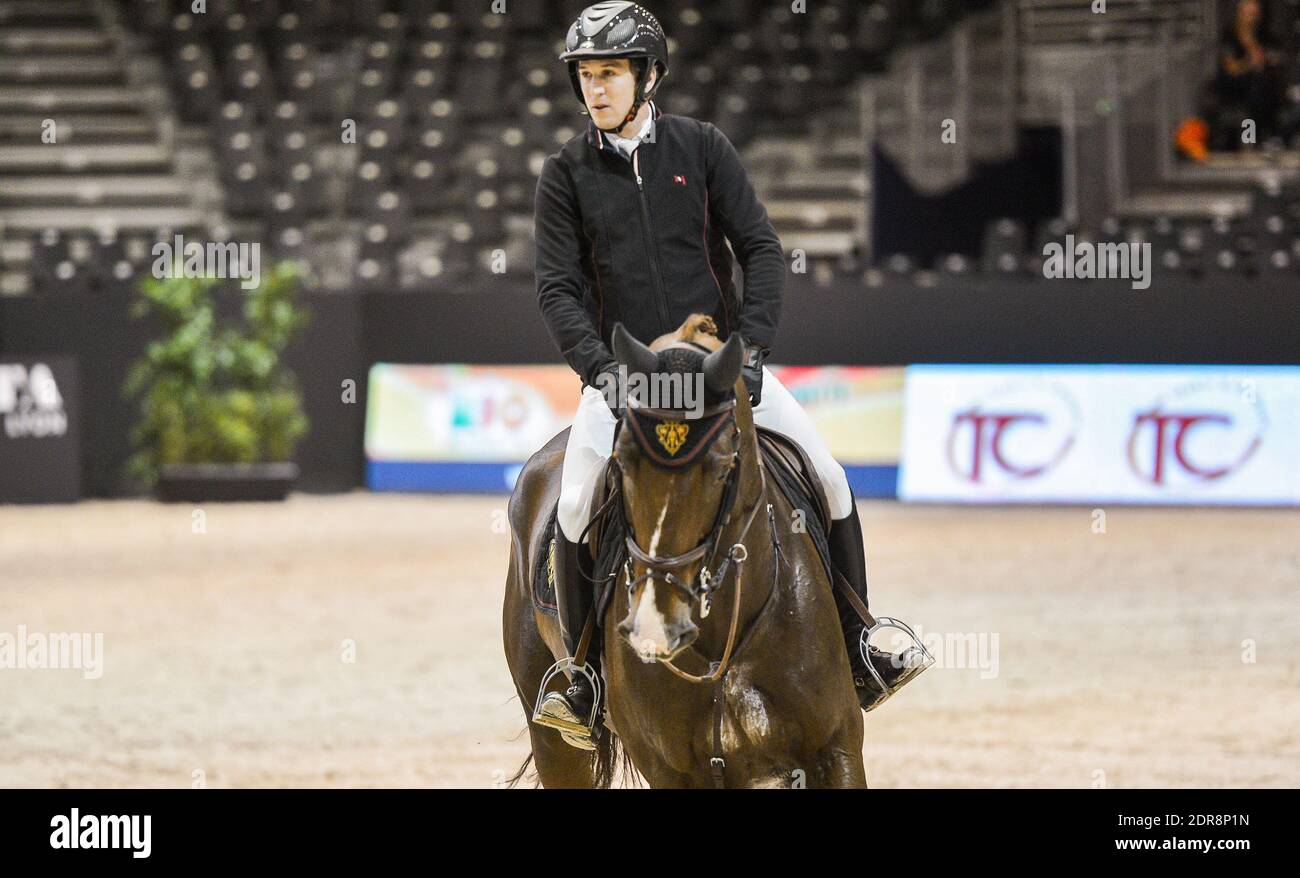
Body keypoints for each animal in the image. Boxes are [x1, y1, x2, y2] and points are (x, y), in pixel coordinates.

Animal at [501, 316, 868, 790]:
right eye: (621, 464)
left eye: (723, 465)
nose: (660, 626)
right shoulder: (674, 771)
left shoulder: (836, 748)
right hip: (552, 735)